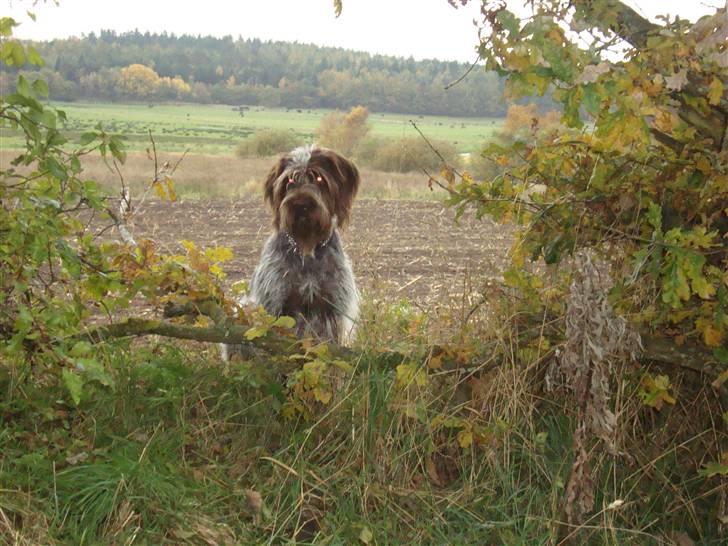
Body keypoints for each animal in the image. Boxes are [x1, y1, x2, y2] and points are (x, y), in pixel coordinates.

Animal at [222, 144, 358, 356]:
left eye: (318, 178)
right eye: (290, 180)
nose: (300, 205)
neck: (306, 251)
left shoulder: (332, 307)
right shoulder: (274, 303)